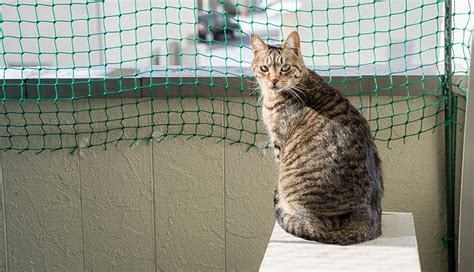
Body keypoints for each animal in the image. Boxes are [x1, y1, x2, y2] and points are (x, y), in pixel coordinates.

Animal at [250, 31, 384, 244]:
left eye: (285, 68)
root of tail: (369, 217)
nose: (273, 81)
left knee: (313, 225)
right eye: (264, 68)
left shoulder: (279, 141)